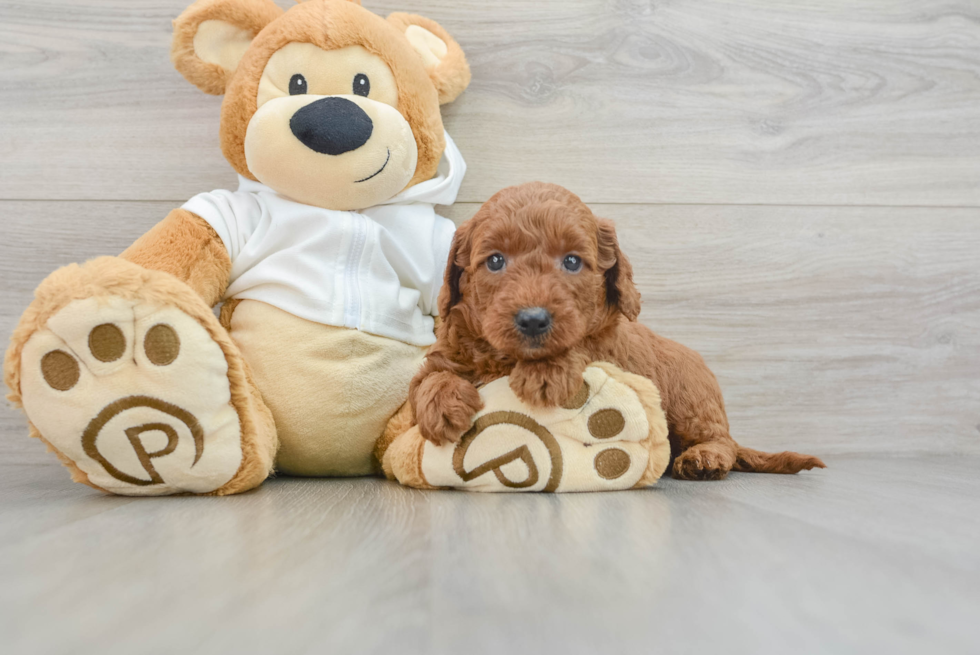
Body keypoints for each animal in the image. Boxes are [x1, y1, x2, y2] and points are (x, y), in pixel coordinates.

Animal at [408, 182, 828, 480]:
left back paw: (704, 458)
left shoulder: (610, 350)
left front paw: (545, 372)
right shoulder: (448, 350)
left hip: (691, 401)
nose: (533, 319)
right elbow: (427, 379)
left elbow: (583, 346)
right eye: (495, 261)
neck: (506, 358)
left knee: (720, 438)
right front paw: (442, 403)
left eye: (572, 262)